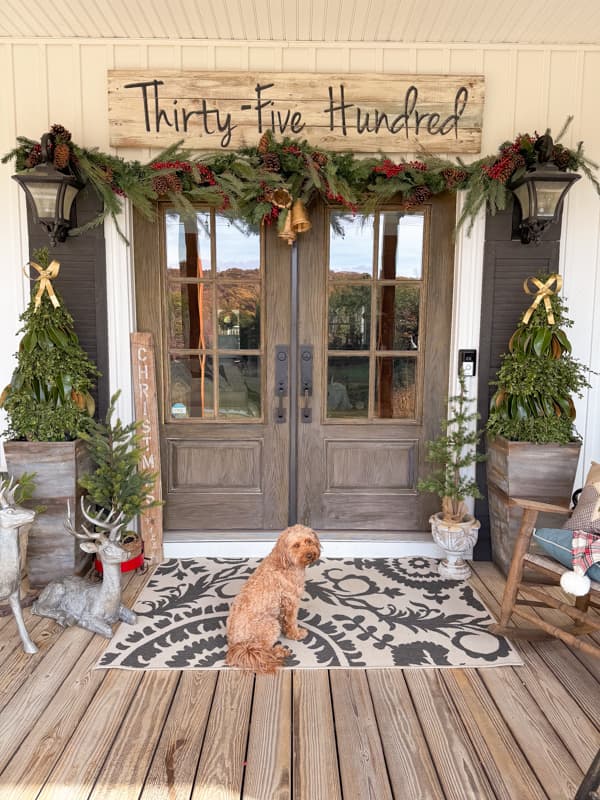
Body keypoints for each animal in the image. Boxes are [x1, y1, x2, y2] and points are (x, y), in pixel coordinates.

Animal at [225, 524, 322, 676]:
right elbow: (291, 622)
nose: (310, 554)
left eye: (309, 541)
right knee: (263, 650)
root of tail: (237, 644)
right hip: (270, 626)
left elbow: (285, 620)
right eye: (296, 545)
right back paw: (279, 651)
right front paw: (296, 634)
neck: (286, 563)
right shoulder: (291, 601)